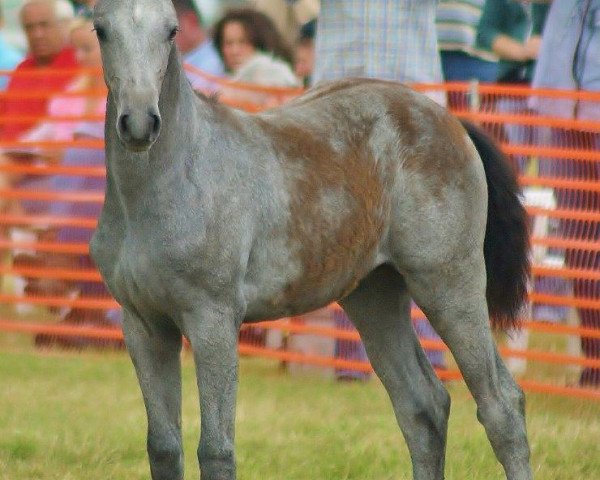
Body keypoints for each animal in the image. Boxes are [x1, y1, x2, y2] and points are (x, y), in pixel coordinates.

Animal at [89, 0, 528, 480]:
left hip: (448, 285)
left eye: (170, 31)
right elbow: (164, 447)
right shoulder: (144, 326)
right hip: (374, 296)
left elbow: (216, 449)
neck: (175, 179)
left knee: (501, 405)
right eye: (100, 30)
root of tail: (450, 120)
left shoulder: (213, 321)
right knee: (423, 408)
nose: (138, 124)